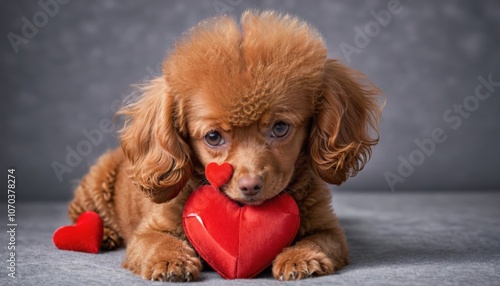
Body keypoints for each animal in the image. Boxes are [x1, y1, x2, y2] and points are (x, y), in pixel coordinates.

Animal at [67, 10, 382, 282]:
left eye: (280, 128)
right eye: (213, 137)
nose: (250, 186)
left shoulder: (329, 231)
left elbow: (317, 241)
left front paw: (300, 257)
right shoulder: (147, 233)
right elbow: (157, 242)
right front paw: (170, 260)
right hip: (96, 184)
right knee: (84, 211)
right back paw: (103, 234)